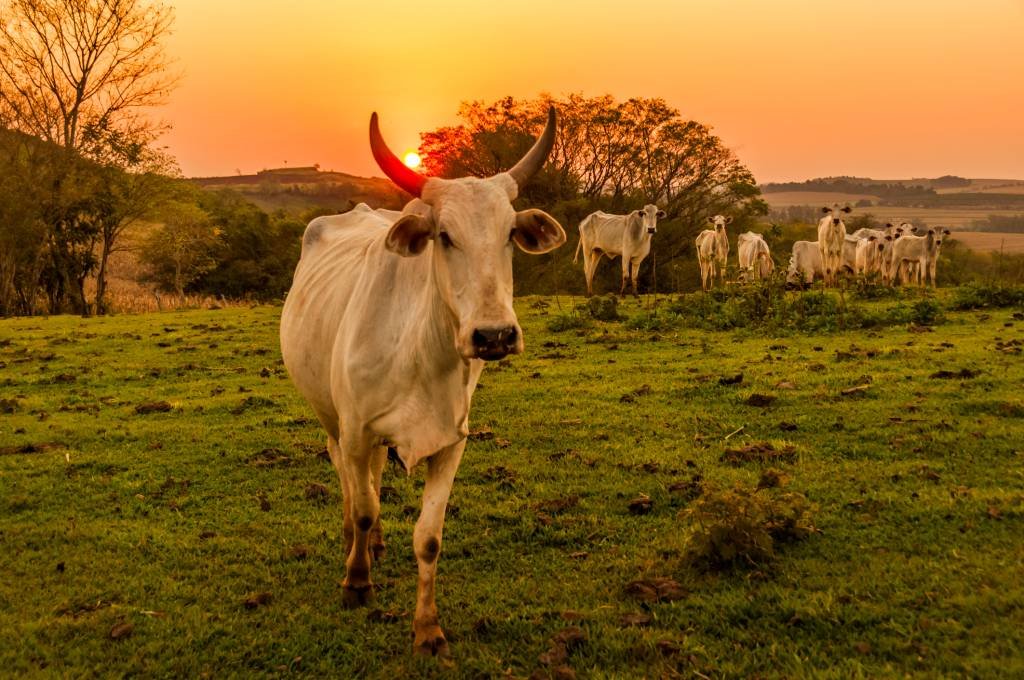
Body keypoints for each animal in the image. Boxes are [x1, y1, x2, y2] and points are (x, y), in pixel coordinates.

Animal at [280, 109, 569, 655]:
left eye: (508, 234)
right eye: (445, 236)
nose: (494, 335)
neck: (419, 356)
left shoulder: (451, 443)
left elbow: (429, 537)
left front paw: (427, 627)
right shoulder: (356, 430)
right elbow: (365, 505)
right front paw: (356, 583)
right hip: (331, 420)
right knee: (350, 483)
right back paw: (355, 541)